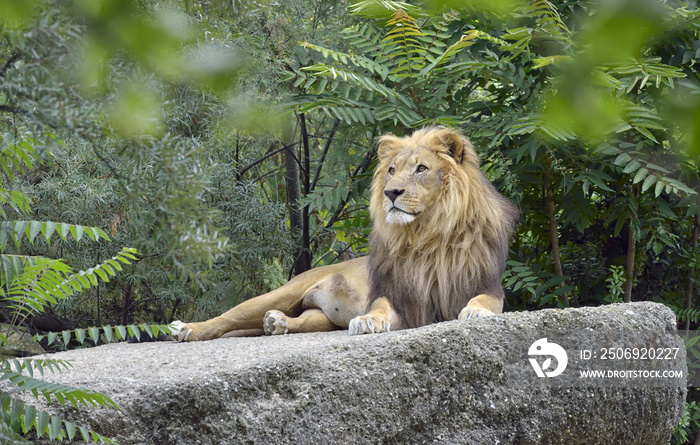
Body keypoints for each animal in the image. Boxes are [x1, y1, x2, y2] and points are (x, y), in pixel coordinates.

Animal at [170, 126, 520, 342]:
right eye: (391, 171)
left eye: (421, 169)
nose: (391, 192)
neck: (427, 234)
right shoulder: (397, 297)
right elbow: (379, 308)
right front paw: (367, 321)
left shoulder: (486, 285)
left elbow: (484, 300)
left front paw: (475, 311)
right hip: (282, 292)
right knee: (228, 318)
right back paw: (187, 329)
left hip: (321, 316)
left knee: (300, 321)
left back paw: (278, 323)